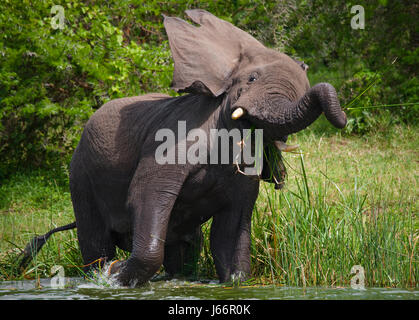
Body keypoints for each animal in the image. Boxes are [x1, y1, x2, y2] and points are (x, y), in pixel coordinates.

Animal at [19, 9, 346, 288]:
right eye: (252, 78)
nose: (343, 118)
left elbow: (232, 232)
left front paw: (235, 282)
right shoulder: (172, 140)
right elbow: (146, 196)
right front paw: (115, 274)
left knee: (184, 248)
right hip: (81, 176)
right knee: (96, 241)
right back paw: (101, 271)